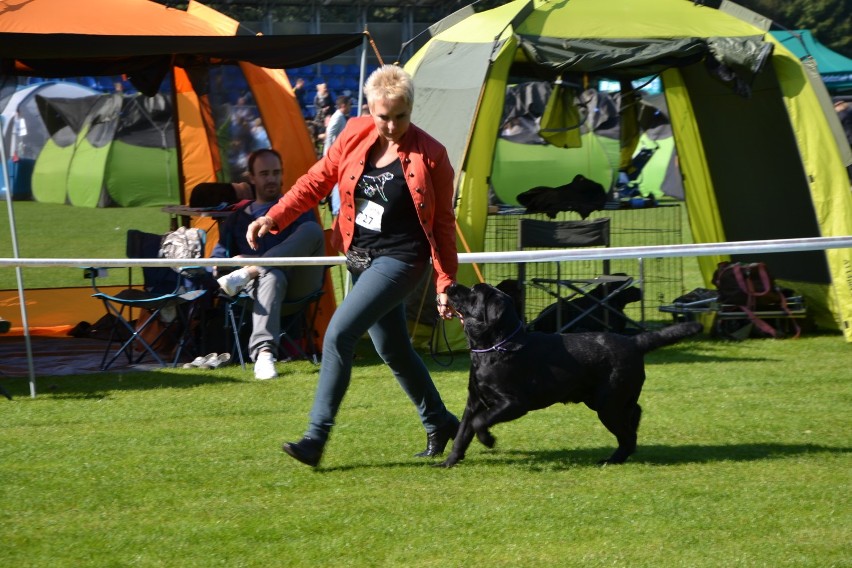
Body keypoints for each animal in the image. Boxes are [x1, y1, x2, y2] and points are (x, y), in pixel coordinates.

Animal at [442, 282, 704, 468]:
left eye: (473, 291)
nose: (449, 285)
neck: (495, 347)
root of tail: (634, 341)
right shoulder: (474, 401)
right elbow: (463, 432)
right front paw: (447, 462)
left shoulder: (514, 403)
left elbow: (479, 422)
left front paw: (488, 440)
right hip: (604, 400)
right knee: (635, 413)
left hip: (608, 405)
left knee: (628, 436)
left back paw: (611, 460)